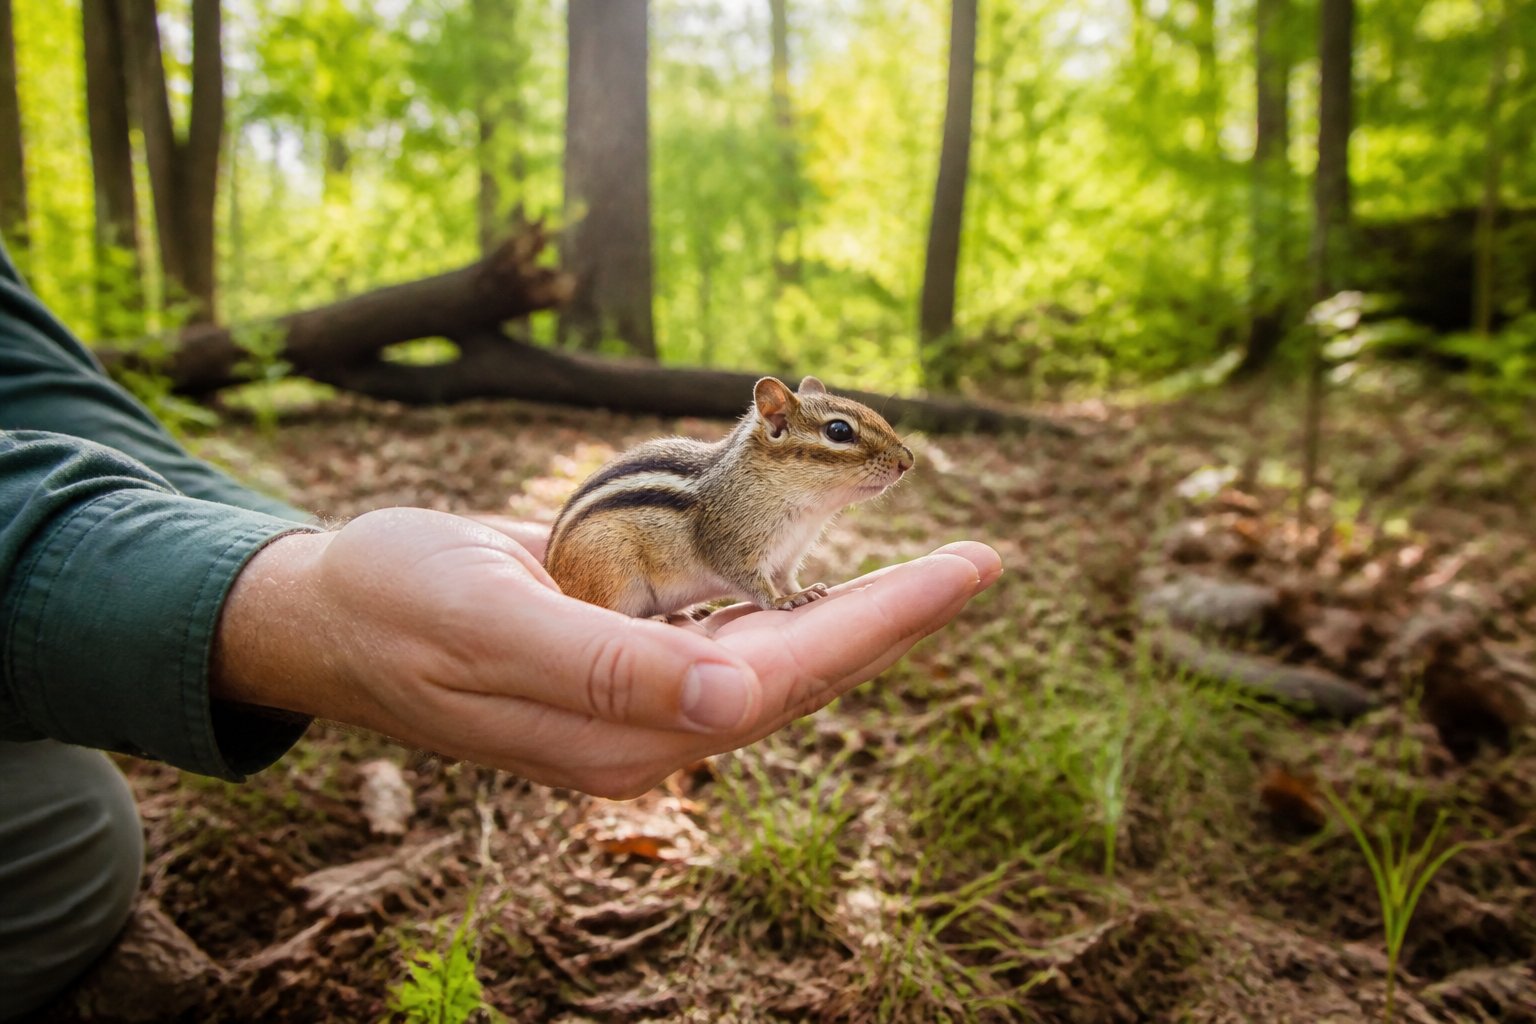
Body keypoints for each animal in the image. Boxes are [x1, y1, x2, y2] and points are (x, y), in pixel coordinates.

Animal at [544, 376, 915, 618]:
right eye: (839, 431)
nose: (907, 461)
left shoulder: (787, 555)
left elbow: (784, 579)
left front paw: (803, 590)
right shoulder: (730, 546)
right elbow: (751, 583)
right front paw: (781, 603)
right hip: (610, 572)